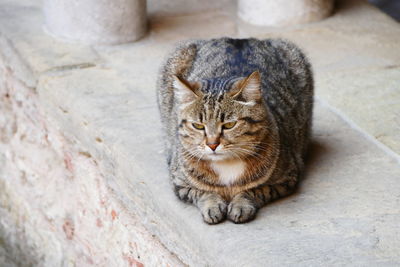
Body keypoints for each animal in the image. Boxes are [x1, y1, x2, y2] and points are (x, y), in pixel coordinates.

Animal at [156, 37, 312, 224]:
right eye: (198, 126)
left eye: (229, 125)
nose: (212, 144)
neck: (226, 166)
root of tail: (239, 39)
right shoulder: (179, 181)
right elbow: (202, 192)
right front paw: (213, 205)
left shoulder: (286, 178)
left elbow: (255, 191)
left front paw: (240, 205)